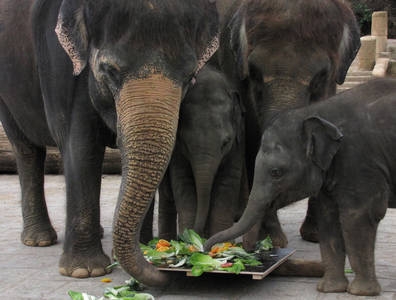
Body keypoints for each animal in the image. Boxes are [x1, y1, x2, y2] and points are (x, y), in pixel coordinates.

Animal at [0, 0, 218, 288]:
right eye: (110, 71)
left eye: (190, 77)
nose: (164, 270)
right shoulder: (59, 63)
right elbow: (81, 147)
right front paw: (84, 271)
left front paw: (139, 249)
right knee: (26, 149)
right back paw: (39, 240)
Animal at [206, 77, 396, 296]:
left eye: (276, 172)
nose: (207, 248)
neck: (315, 112)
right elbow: (328, 217)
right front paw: (329, 289)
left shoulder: (360, 163)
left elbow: (358, 216)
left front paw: (361, 293)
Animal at [215, 0, 360, 247]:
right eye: (254, 73)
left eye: (321, 76)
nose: (250, 243)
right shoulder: (233, 66)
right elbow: (252, 135)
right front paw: (272, 238)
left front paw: (316, 236)